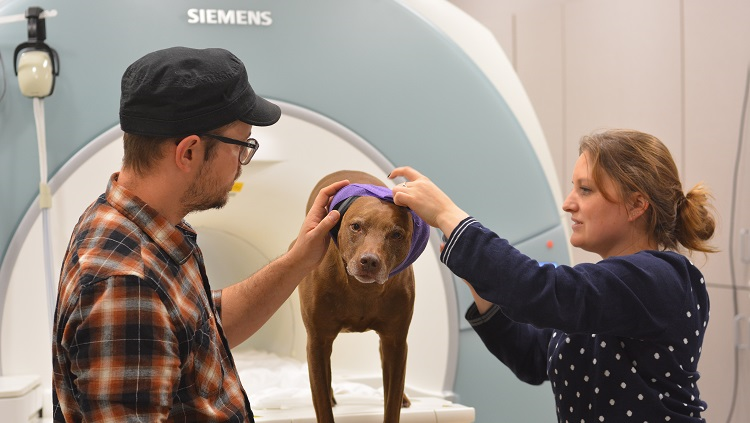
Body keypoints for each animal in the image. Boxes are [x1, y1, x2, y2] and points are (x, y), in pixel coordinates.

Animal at [298, 171, 418, 423]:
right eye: (356, 226)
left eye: (396, 234)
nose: (370, 261)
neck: (362, 290)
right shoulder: (317, 341)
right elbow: (322, 403)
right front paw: (327, 400)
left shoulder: (396, 341)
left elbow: (391, 402)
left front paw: (397, 400)